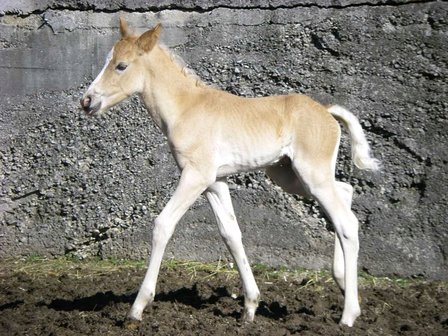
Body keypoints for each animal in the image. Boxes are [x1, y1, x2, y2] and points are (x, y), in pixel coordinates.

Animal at [80, 19, 378, 328]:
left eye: (121, 66)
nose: (86, 101)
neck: (186, 108)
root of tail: (327, 111)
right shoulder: (215, 181)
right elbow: (230, 234)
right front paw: (250, 307)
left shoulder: (195, 175)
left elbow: (163, 225)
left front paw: (137, 307)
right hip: (289, 175)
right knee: (344, 191)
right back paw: (341, 281)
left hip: (310, 173)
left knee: (346, 222)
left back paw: (349, 314)